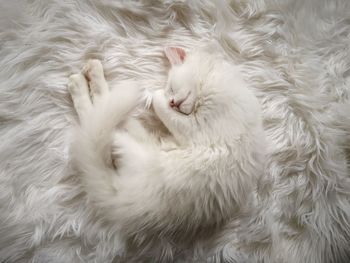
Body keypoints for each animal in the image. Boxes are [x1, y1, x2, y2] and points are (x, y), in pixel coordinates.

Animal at [67, 47, 266, 254]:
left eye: (170, 87)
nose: (172, 101)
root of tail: (123, 198)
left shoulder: (194, 125)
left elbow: (157, 101)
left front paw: (154, 95)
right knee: (102, 114)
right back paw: (87, 76)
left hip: (124, 142)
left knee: (99, 116)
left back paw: (82, 82)